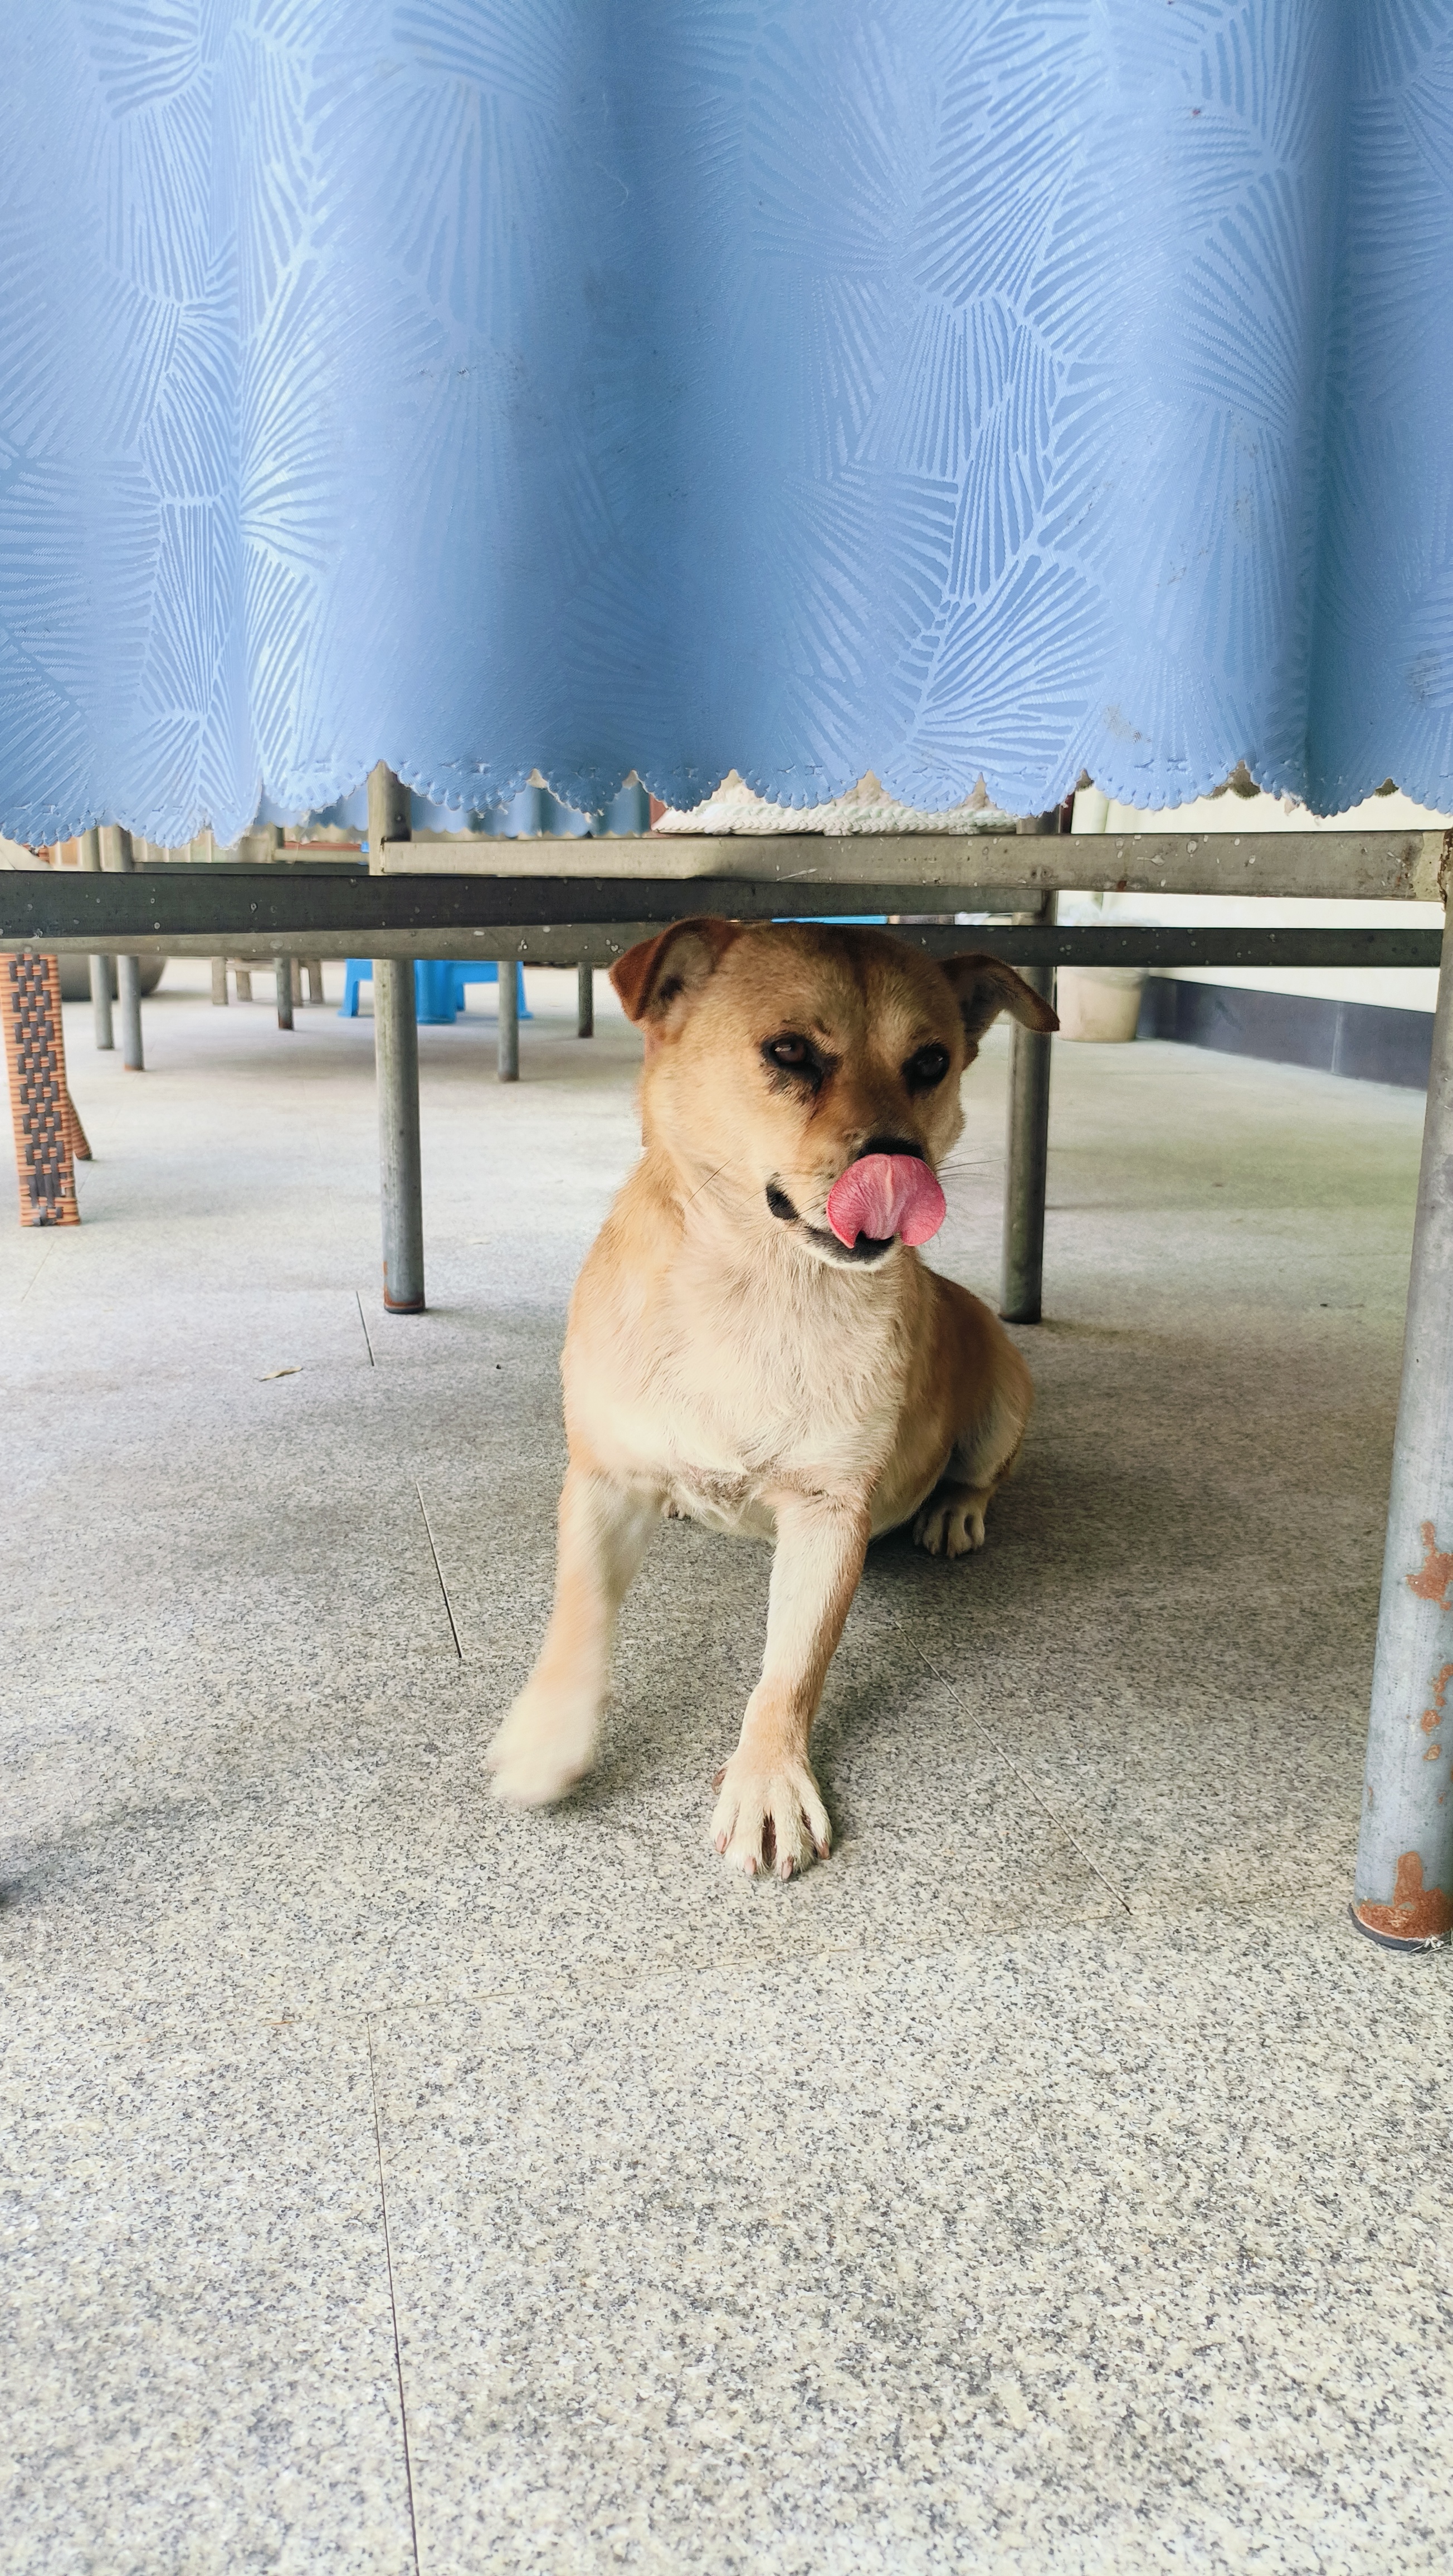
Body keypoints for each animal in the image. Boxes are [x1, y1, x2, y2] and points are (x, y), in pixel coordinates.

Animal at [487, 917, 1057, 1877]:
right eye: (789, 1052)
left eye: (932, 1062)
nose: (900, 1164)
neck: (754, 1284)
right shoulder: (603, 1481)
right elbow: (580, 1616)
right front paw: (547, 1737)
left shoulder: (828, 1514)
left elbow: (790, 1670)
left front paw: (767, 1780)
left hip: (1004, 1390)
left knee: (983, 1471)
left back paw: (954, 1509)